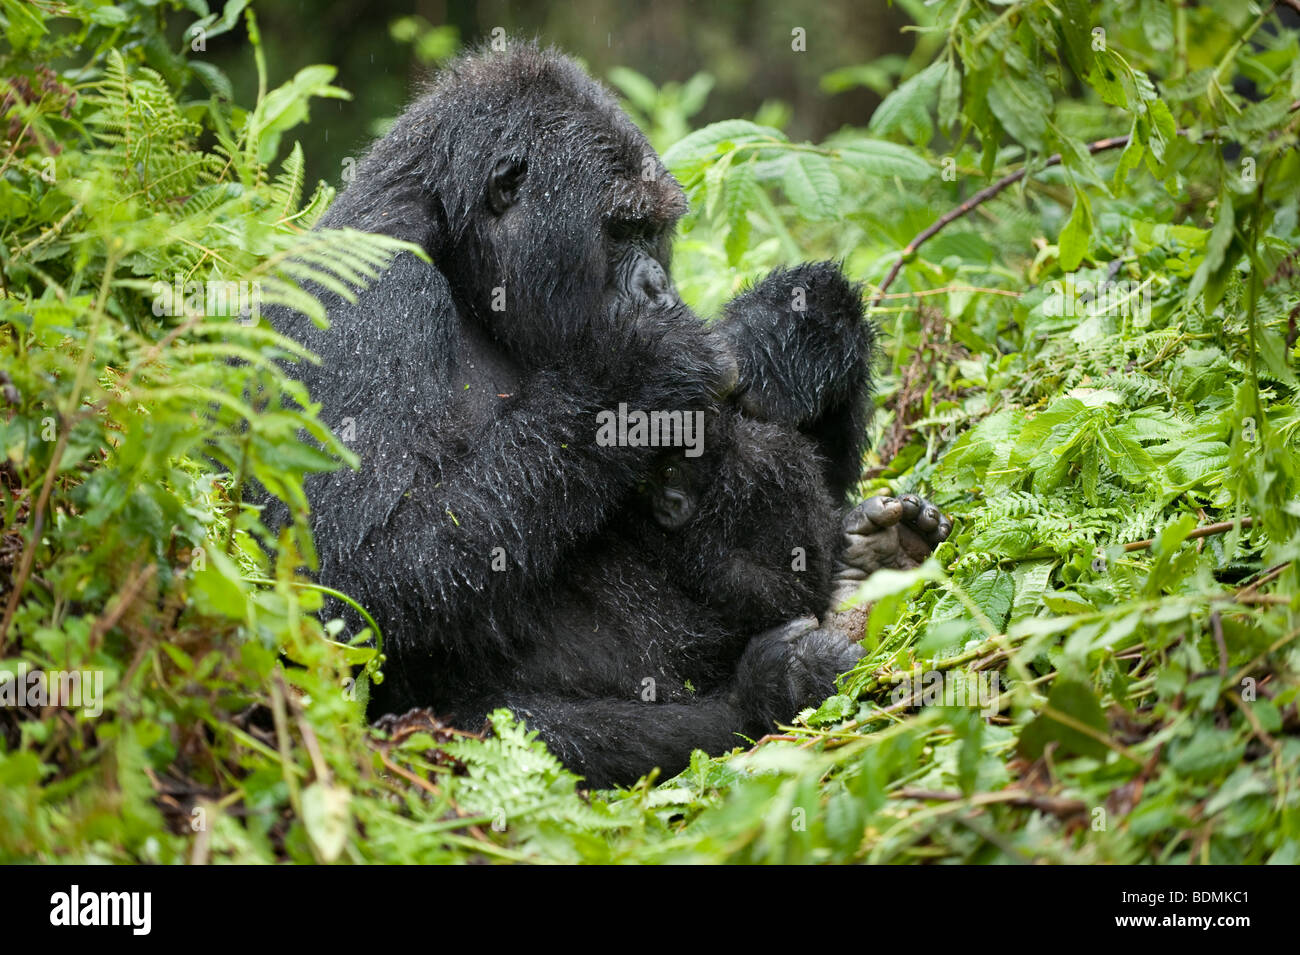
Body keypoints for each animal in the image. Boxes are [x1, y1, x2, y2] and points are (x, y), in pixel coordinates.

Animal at [271, 42, 946, 784]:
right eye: (621, 231)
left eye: (654, 233)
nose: (656, 285)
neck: (458, 250)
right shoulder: (369, 290)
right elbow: (349, 584)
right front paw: (637, 374)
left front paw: (797, 327)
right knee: (511, 731)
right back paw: (768, 689)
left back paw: (871, 563)